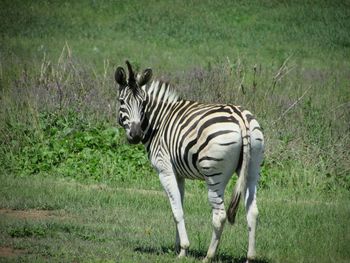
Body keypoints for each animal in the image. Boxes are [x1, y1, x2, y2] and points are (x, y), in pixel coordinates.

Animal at [115, 60, 266, 262]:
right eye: (122, 101)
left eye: (143, 103)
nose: (136, 135)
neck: (158, 121)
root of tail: (240, 117)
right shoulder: (178, 174)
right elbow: (179, 207)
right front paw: (177, 247)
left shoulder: (165, 170)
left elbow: (177, 211)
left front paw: (184, 249)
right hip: (252, 169)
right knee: (252, 211)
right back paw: (250, 256)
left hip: (214, 175)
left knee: (219, 215)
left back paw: (209, 256)